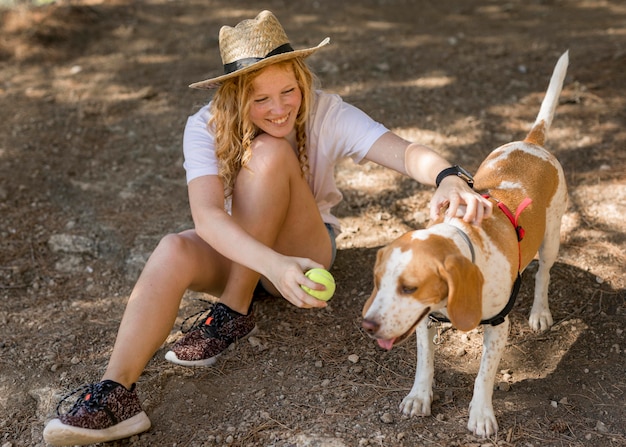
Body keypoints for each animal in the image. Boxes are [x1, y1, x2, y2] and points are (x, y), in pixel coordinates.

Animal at [358, 51, 568, 438]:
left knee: (544, 274)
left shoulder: (498, 327)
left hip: (552, 238)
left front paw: (481, 414)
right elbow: (425, 363)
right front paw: (419, 397)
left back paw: (539, 312)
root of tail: (532, 142)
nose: (367, 326)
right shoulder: (424, 322)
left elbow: (483, 376)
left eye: (409, 288)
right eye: (378, 283)